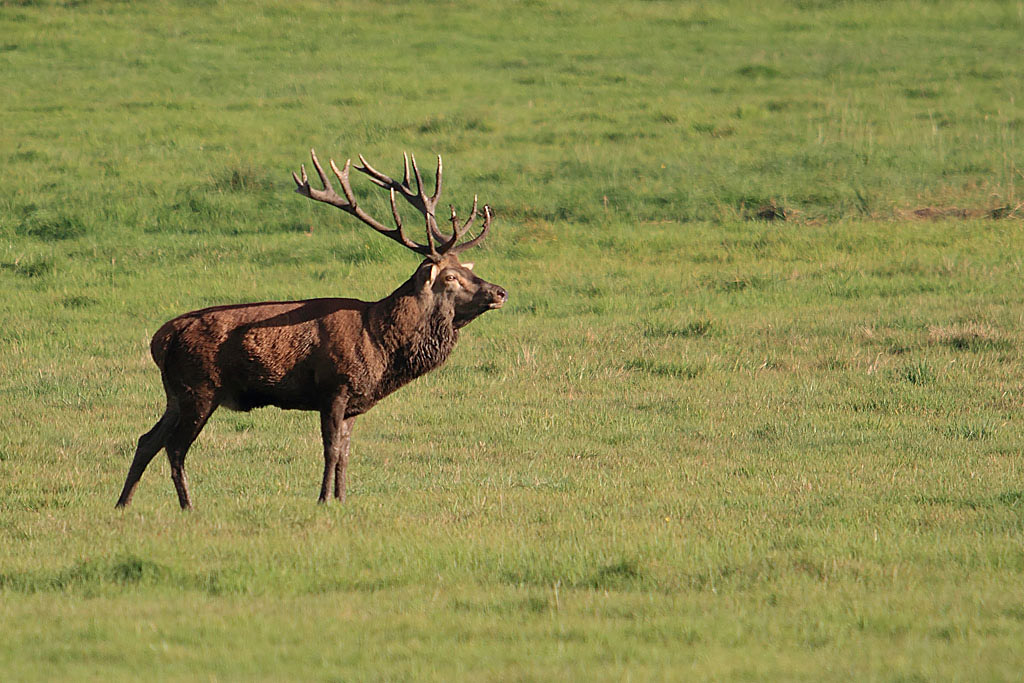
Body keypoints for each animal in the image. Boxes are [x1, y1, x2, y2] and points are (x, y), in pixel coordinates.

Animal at [115, 149, 507, 509]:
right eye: (451, 277)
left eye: (468, 269)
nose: (500, 291)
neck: (379, 343)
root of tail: (160, 339)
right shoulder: (334, 386)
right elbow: (330, 450)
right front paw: (322, 501)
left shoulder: (354, 402)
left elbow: (346, 453)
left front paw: (343, 499)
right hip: (199, 387)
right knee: (175, 447)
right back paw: (187, 506)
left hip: (175, 392)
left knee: (147, 439)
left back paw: (123, 503)